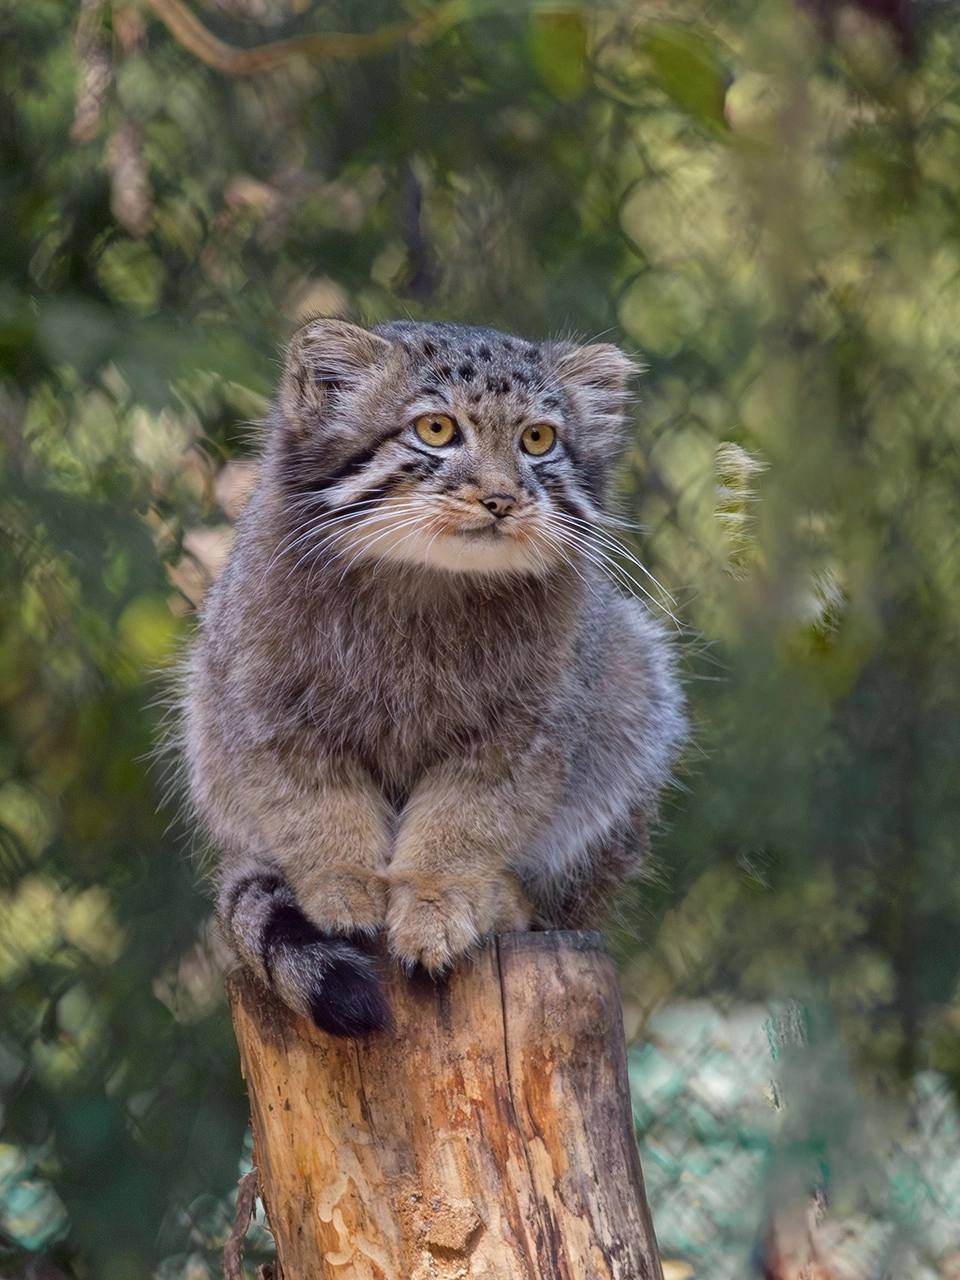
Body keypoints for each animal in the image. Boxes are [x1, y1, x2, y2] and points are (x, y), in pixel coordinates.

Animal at [181, 314, 686, 1034]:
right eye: (438, 430)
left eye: (538, 439)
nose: (502, 498)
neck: (427, 582)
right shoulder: (265, 705)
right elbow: (315, 807)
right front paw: (344, 886)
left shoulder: (523, 734)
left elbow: (464, 823)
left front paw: (435, 903)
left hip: (634, 690)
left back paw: (503, 899)